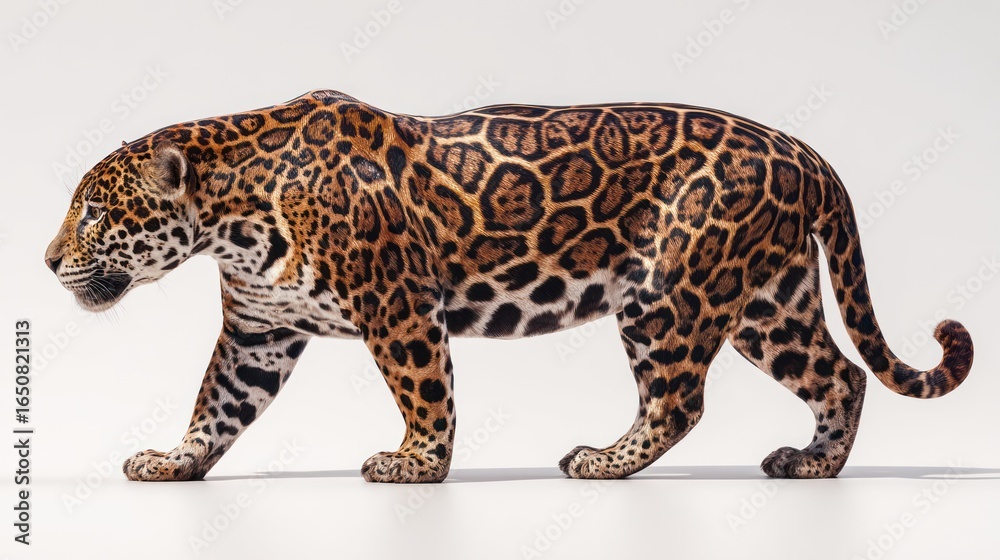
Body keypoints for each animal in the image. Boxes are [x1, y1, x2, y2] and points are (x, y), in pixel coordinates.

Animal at [44, 89, 974, 483]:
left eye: (93, 213)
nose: (48, 262)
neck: (233, 219)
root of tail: (802, 151)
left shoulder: (398, 306)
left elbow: (425, 391)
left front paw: (416, 465)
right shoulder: (259, 330)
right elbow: (216, 403)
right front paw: (174, 461)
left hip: (669, 294)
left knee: (679, 401)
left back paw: (601, 462)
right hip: (767, 300)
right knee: (839, 373)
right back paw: (814, 464)